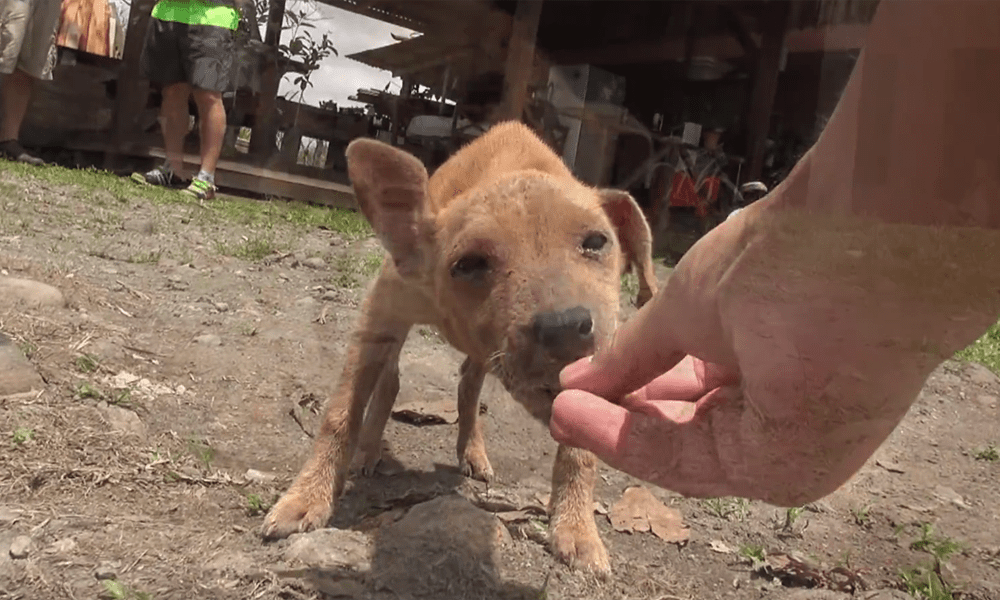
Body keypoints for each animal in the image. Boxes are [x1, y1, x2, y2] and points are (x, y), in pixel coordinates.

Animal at [262, 119, 660, 576]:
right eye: (467, 264)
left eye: (596, 242)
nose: (564, 327)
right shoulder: (381, 309)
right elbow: (340, 412)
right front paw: (303, 502)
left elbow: (581, 449)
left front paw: (577, 534)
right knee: (391, 381)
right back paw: (368, 453)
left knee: (468, 385)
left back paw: (473, 455)